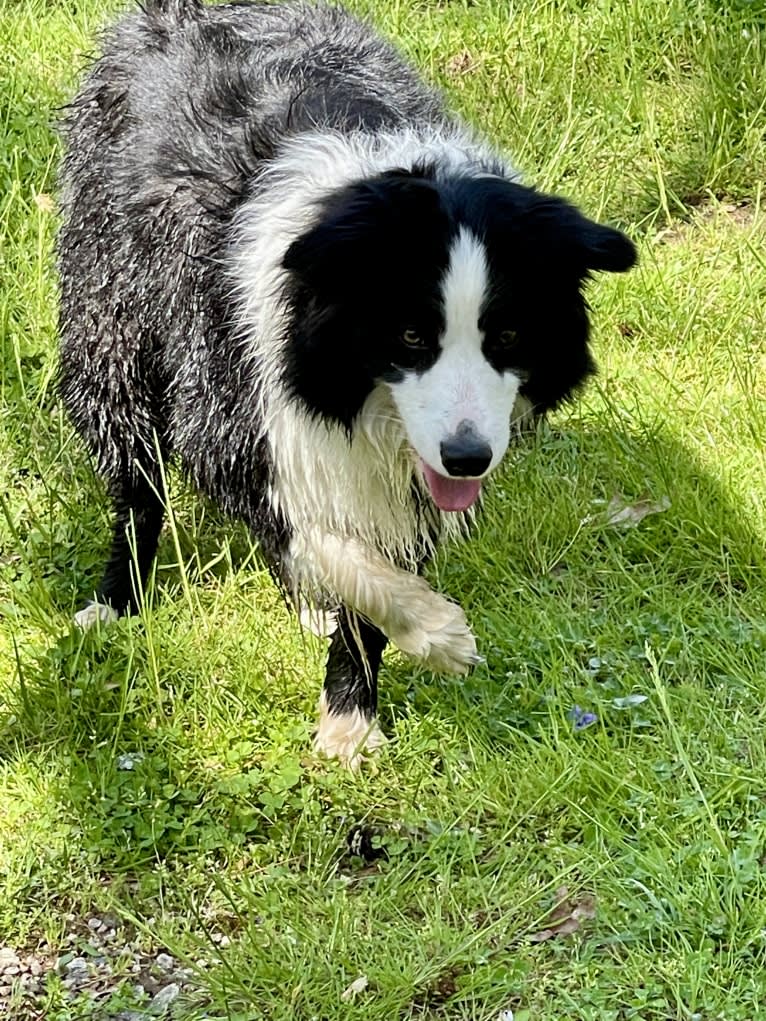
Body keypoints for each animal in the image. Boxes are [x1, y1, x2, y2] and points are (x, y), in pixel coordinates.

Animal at [58, 0, 637, 767]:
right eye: (411, 335)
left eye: (508, 336)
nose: (469, 458)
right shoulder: (231, 395)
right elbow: (315, 535)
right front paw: (437, 635)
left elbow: (374, 548)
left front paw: (349, 716)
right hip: (109, 296)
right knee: (132, 462)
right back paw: (116, 599)